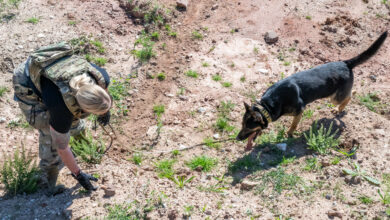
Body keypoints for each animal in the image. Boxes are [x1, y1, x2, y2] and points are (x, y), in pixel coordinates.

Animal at [238, 31, 386, 150]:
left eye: (249, 127)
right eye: (242, 124)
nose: (237, 138)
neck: (267, 106)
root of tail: (345, 63)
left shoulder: (299, 110)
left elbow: (294, 125)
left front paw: (289, 133)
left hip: (334, 98)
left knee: (348, 97)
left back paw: (340, 108)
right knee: (350, 93)